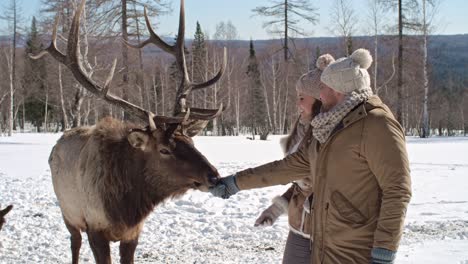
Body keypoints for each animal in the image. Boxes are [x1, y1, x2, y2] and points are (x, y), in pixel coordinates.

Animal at [29, 0, 227, 264]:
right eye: (164, 149)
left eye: (192, 142)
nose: (213, 176)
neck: (126, 208)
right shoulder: (95, 227)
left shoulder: (133, 233)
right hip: (68, 212)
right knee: (74, 243)